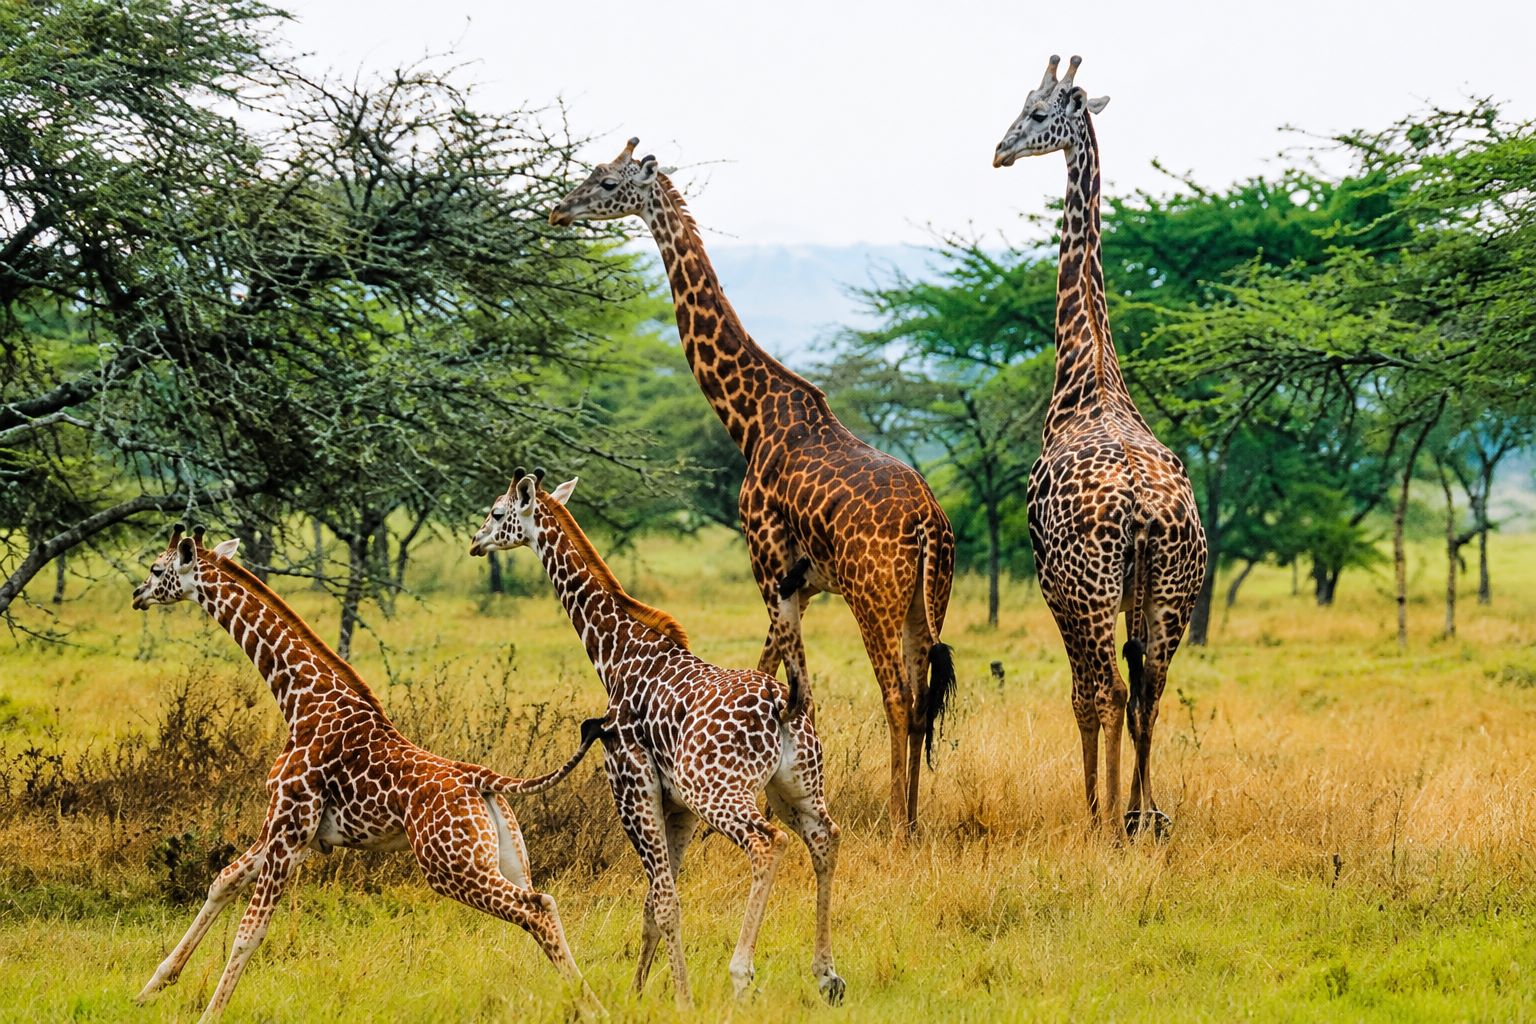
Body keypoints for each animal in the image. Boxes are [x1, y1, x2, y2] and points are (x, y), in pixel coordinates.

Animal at [130, 525, 602, 1022]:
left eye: (157, 569)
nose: (138, 594)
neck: (300, 700)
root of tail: (483, 779)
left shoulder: (288, 826)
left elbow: (249, 931)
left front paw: (208, 1014)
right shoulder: (293, 833)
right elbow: (222, 881)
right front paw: (150, 989)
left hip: (449, 865)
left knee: (535, 910)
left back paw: (592, 1005)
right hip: (505, 858)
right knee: (543, 904)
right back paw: (587, 1002)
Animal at [470, 469, 844, 1007]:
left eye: (497, 512)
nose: (476, 541)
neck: (615, 654)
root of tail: (783, 706)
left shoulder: (631, 783)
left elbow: (665, 902)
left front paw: (682, 1000)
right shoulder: (676, 806)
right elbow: (653, 904)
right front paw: (637, 993)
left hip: (717, 790)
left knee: (767, 842)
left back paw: (741, 975)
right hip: (796, 789)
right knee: (825, 839)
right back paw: (827, 976)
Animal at [550, 139, 957, 836]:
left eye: (605, 182)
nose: (558, 210)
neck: (751, 419)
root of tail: (930, 521)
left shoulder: (767, 565)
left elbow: (796, 689)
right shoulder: (801, 584)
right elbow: (772, 676)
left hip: (873, 596)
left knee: (899, 699)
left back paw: (896, 828)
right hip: (925, 600)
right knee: (923, 697)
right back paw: (910, 819)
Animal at [993, 55, 1208, 837]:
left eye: (1037, 112)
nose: (999, 152)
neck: (1090, 375)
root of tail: (1143, 510)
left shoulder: (1049, 581)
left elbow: (1084, 696)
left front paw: (1093, 804)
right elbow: (1135, 692)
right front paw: (1131, 807)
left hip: (1087, 590)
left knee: (1111, 688)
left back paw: (1108, 817)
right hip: (1174, 592)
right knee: (1152, 688)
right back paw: (1147, 814)